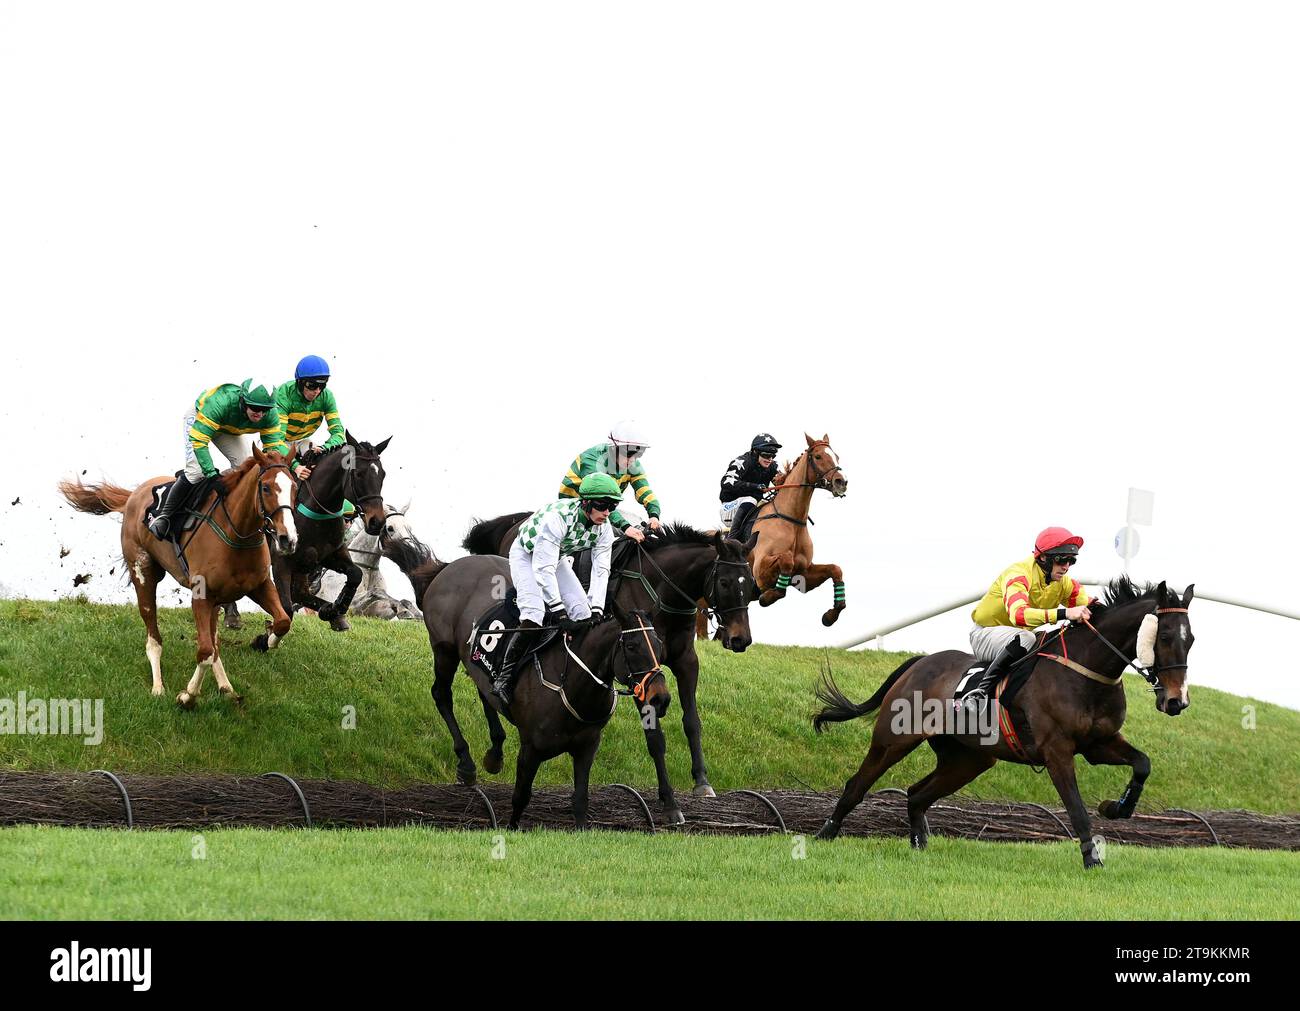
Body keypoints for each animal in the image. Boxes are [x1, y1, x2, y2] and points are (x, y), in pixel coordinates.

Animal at [59, 444, 299, 706]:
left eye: (295, 487)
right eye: (266, 487)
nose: (288, 539)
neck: (237, 535)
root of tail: (134, 494)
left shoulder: (259, 585)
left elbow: (282, 621)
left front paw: (269, 640)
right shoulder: (201, 596)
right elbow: (204, 651)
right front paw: (187, 695)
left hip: (215, 599)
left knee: (215, 642)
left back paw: (226, 687)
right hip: (143, 573)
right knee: (154, 635)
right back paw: (158, 686)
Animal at [403, 550, 670, 826]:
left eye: (660, 645)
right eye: (632, 646)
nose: (660, 698)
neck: (573, 683)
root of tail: (451, 565)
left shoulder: (587, 747)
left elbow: (580, 801)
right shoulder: (531, 749)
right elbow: (520, 798)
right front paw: (511, 827)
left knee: (484, 692)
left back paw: (494, 754)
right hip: (443, 648)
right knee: (442, 694)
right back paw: (466, 763)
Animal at [462, 511, 759, 821]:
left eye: (750, 582)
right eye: (724, 582)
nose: (740, 639)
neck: (660, 589)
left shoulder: (684, 660)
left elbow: (692, 722)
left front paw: (702, 781)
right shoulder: (638, 672)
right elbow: (655, 737)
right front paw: (670, 803)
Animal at [696, 426, 847, 634]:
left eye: (837, 456)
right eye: (818, 456)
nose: (842, 482)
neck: (790, 520)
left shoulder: (804, 574)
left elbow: (835, 569)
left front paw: (831, 615)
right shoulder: (760, 570)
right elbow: (786, 560)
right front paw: (768, 597)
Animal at [811, 574, 1196, 868]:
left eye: (1190, 639)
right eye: (1163, 637)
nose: (1176, 701)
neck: (1086, 671)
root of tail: (920, 661)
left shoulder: (1098, 744)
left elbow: (1142, 764)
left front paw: (1117, 807)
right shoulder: (1057, 751)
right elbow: (1076, 808)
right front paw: (1092, 860)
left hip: (969, 758)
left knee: (917, 794)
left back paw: (919, 845)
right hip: (894, 739)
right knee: (857, 785)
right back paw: (824, 833)